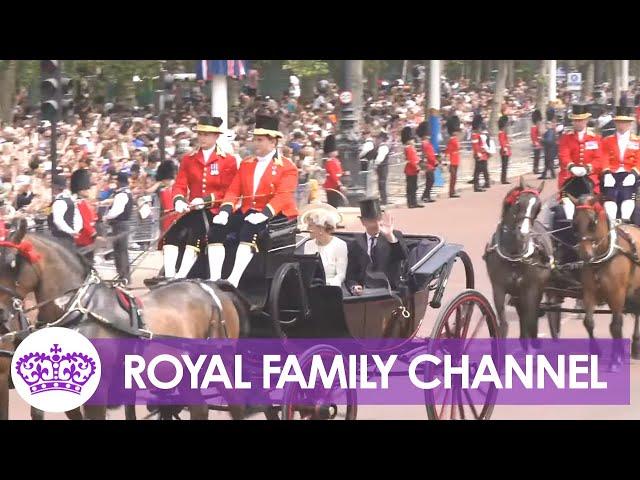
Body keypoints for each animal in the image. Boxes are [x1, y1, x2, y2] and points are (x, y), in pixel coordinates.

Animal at [0, 218, 250, 420]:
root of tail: (212, 286)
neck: (81, 310)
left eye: (12, 263)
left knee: (236, 405)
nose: (2, 314)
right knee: (200, 409)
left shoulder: (97, 393)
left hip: (220, 364)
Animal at [482, 176, 552, 344]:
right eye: (519, 203)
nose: (524, 233)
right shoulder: (498, 289)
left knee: (530, 321)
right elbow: (503, 326)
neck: (513, 256)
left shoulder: (531, 290)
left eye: (538, 207)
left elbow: (530, 323)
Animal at [568, 193, 640, 366]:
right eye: (574, 223)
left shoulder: (617, 294)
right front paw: (597, 352)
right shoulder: (589, 292)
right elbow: (588, 322)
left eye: (592, 223)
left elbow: (615, 325)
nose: (585, 255)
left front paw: (616, 359)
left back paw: (635, 346)